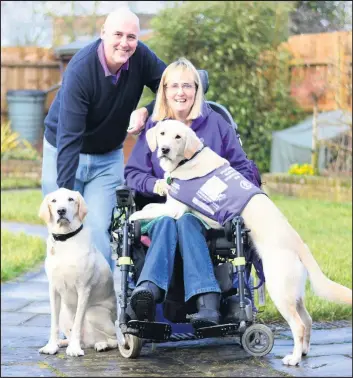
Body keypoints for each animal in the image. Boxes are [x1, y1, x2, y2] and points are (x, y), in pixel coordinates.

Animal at [38, 189, 118, 358]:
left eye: (71, 199)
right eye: (54, 201)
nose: (61, 211)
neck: (65, 241)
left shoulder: (83, 289)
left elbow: (77, 324)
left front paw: (74, 349)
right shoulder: (53, 289)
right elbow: (53, 323)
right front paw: (51, 346)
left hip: (94, 313)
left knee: (114, 338)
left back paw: (101, 345)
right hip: (64, 313)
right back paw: (63, 342)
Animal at [130, 120, 352, 366]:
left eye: (178, 137)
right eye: (162, 134)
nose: (165, 149)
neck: (188, 159)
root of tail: (299, 244)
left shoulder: (174, 210)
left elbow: (149, 212)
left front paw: (132, 217)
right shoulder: (169, 204)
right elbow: (150, 207)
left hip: (279, 289)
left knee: (299, 325)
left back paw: (293, 358)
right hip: (294, 292)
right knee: (308, 320)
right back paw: (303, 352)